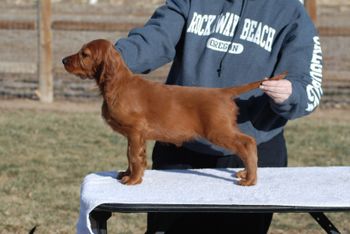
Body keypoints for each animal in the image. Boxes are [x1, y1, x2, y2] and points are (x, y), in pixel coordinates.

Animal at [63, 39, 288, 186]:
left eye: (85, 54)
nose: (64, 60)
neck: (118, 84)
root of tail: (223, 92)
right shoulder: (135, 135)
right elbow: (132, 155)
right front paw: (127, 174)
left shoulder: (135, 131)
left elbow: (133, 156)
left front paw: (133, 180)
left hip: (218, 131)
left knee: (248, 143)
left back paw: (250, 179)